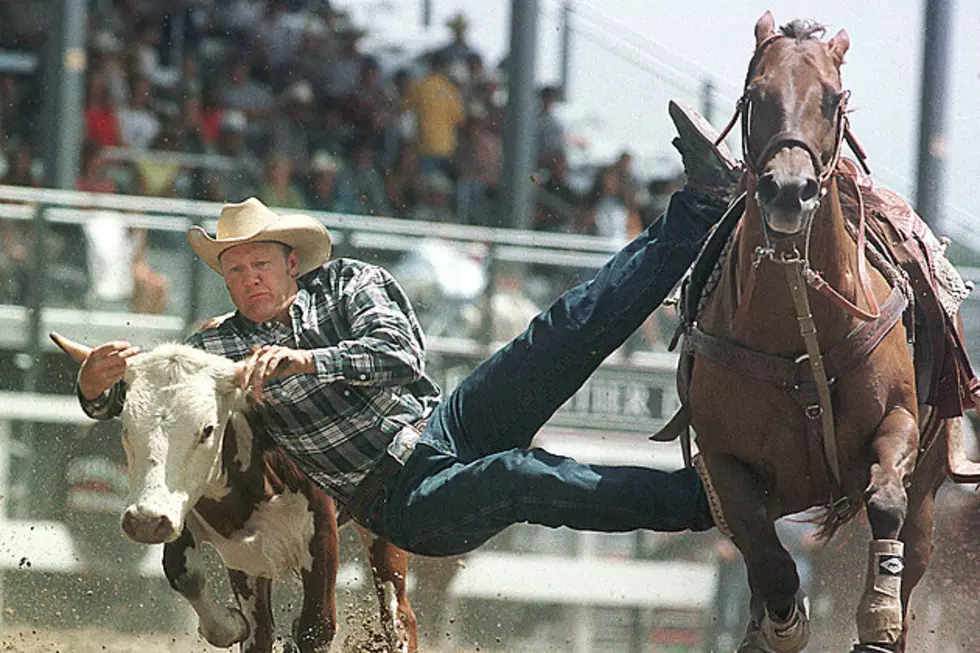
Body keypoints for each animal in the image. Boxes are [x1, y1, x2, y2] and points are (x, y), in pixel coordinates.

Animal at [680, 11, 956, 652]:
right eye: (756, 97)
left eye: (832, 100)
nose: (789, 188)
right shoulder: (725, 463)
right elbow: (766, 555)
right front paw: (779, 625)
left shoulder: (899, 422)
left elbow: (886, 498)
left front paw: (877, 615)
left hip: (931, 493)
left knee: (911, 547)